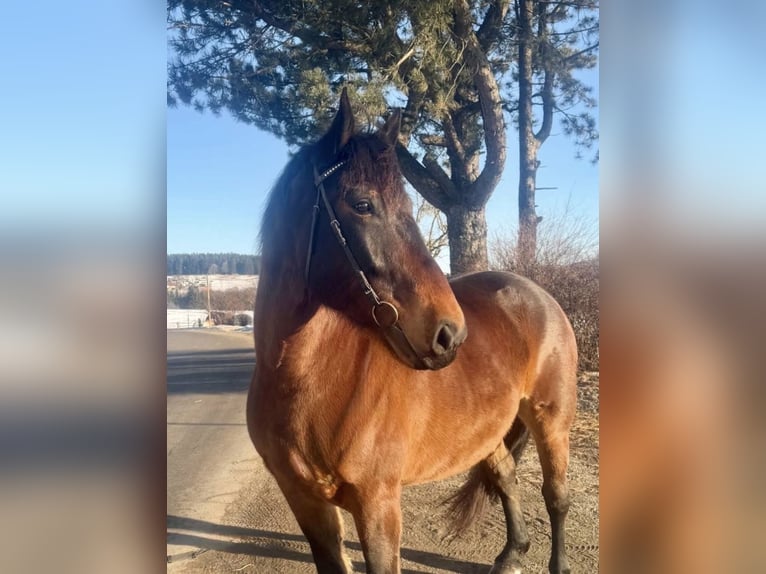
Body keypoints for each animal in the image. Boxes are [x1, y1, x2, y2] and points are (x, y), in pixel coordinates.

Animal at [247, 89, 578, 574]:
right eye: (362, 204)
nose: (450, 335)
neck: (306, 381)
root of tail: (538, 293)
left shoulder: (378, 506)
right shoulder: (307, 504)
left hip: (551, 419)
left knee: (555, 497)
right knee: (504, 476)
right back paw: (511, 554)